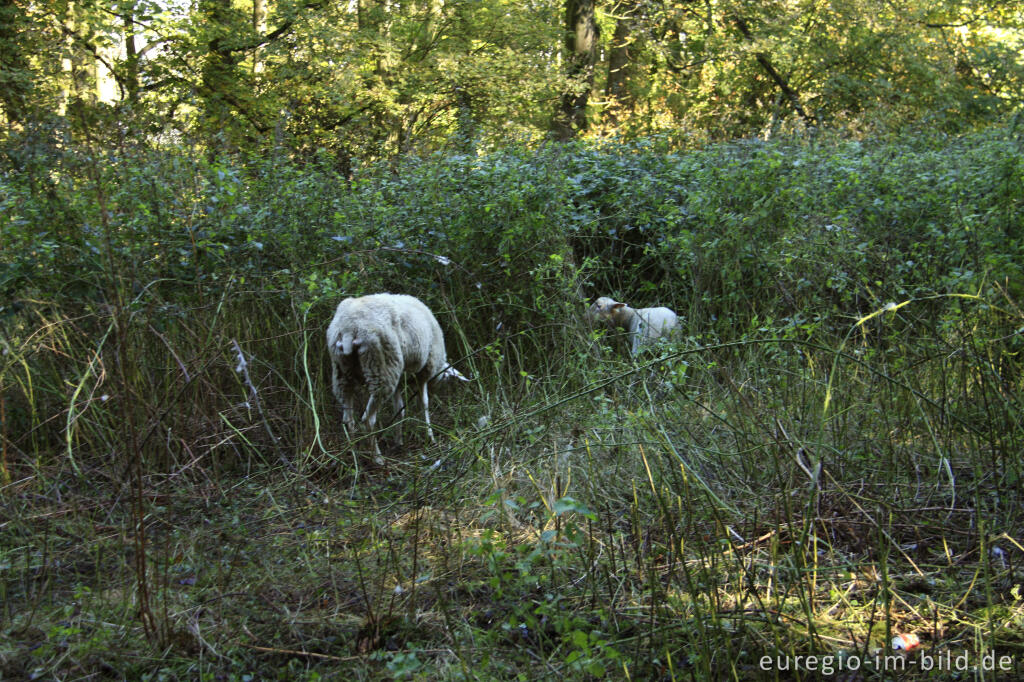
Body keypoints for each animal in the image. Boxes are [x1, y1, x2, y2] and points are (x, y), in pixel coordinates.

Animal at [327, 292, 468, 456]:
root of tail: (349, 328)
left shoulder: (399, 380)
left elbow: (399, 409)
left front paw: (398, 441)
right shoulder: (424, 371)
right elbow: (424, 404)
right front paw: (430, 436)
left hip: (342, 372)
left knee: (348, 419)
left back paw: (353, 452)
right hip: (381, 367)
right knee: (368, 419)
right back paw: (377, 457)